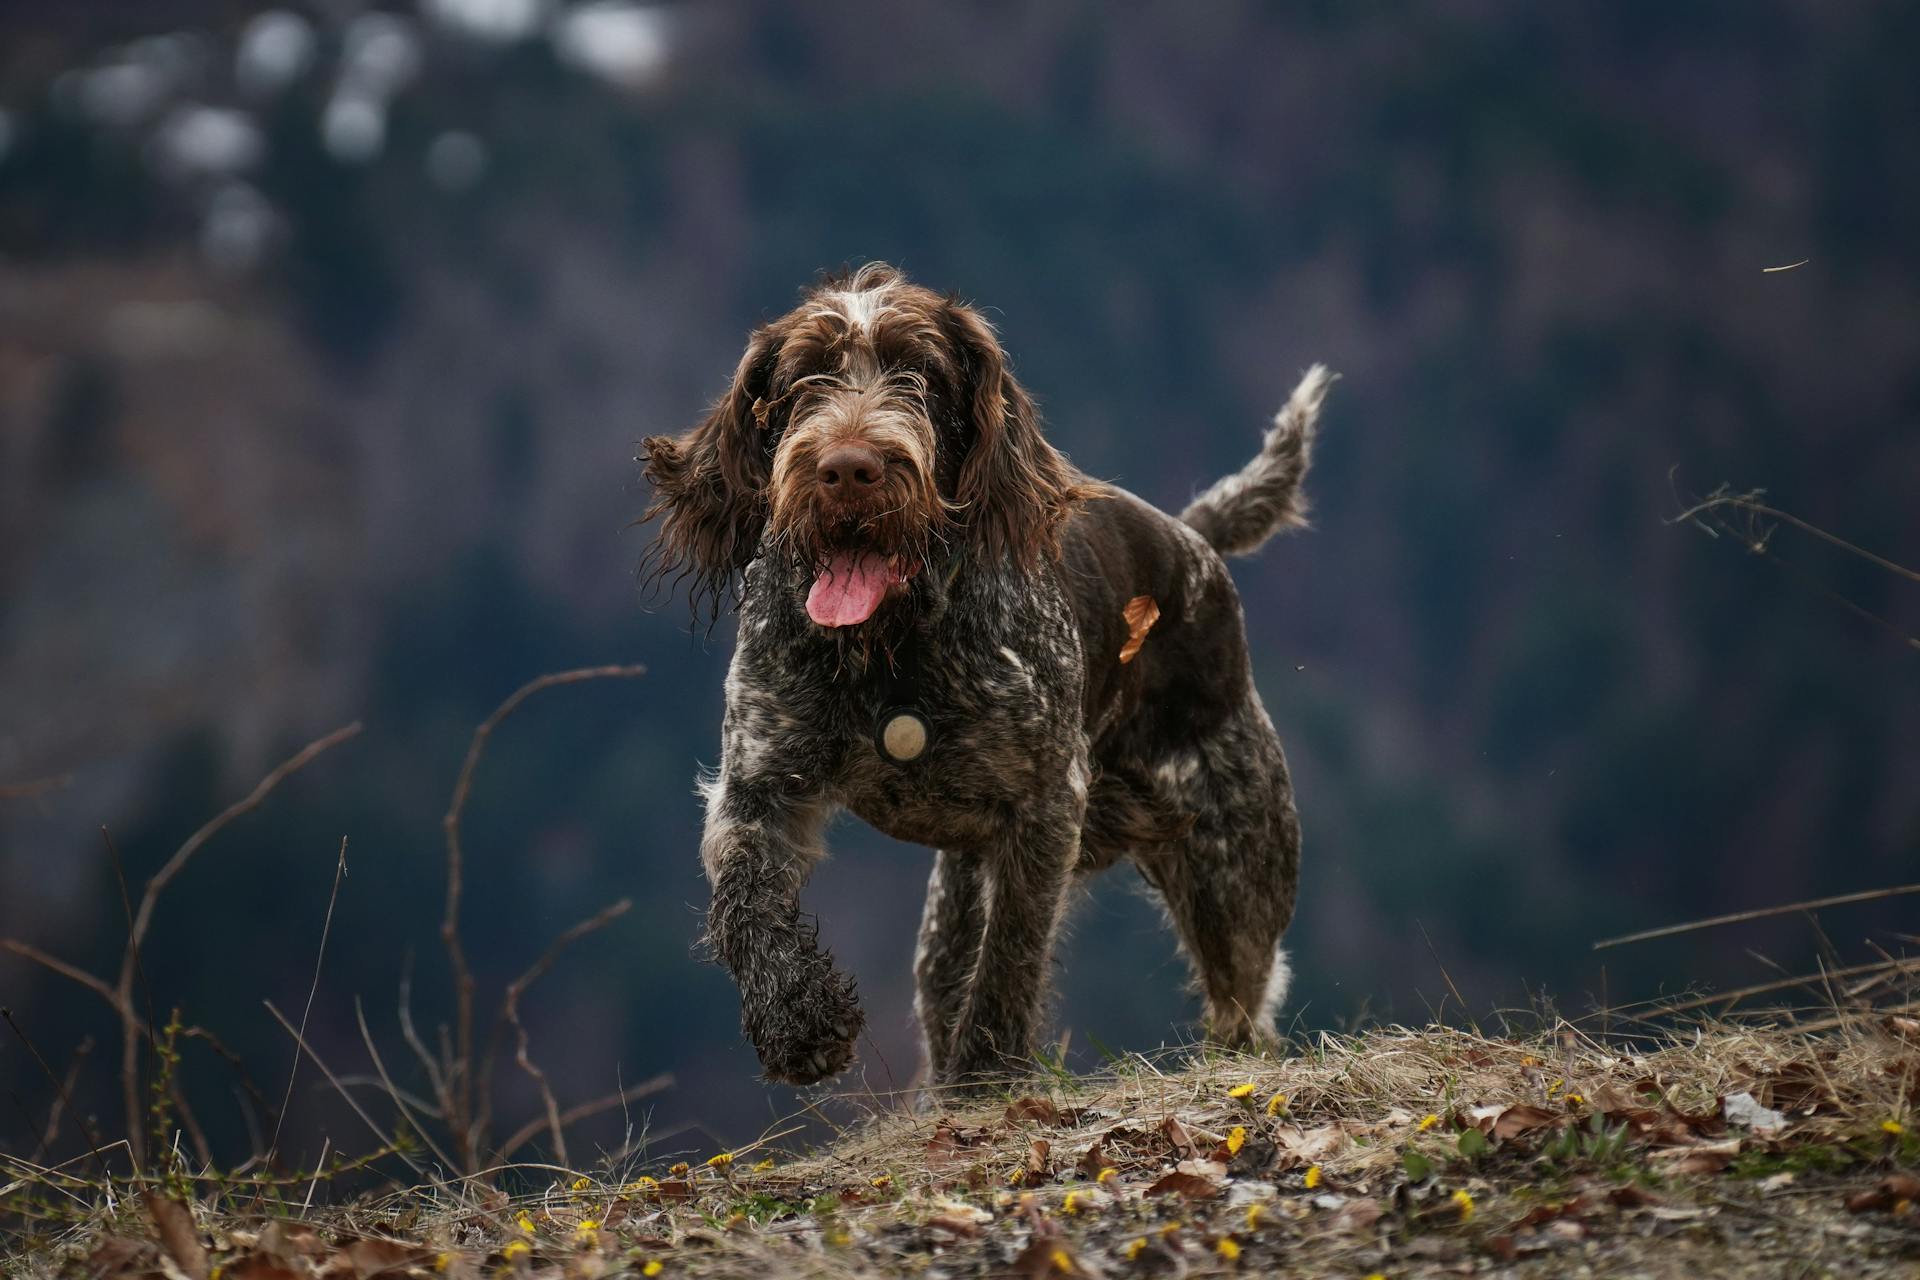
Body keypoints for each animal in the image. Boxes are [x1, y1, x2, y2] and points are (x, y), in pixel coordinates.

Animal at [637, 262, 1328, 1090]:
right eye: (805, 376)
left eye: (922, 374)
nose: (848, 470)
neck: (889, 650)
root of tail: (1193, 541)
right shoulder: (758, 783)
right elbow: (745, 901)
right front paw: (798, 1020)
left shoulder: (1046, 806)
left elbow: (1012, 953)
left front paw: (989, 1070)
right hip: (953, 906)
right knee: (945, 979)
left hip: (1234, 870)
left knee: (1244, 1004)